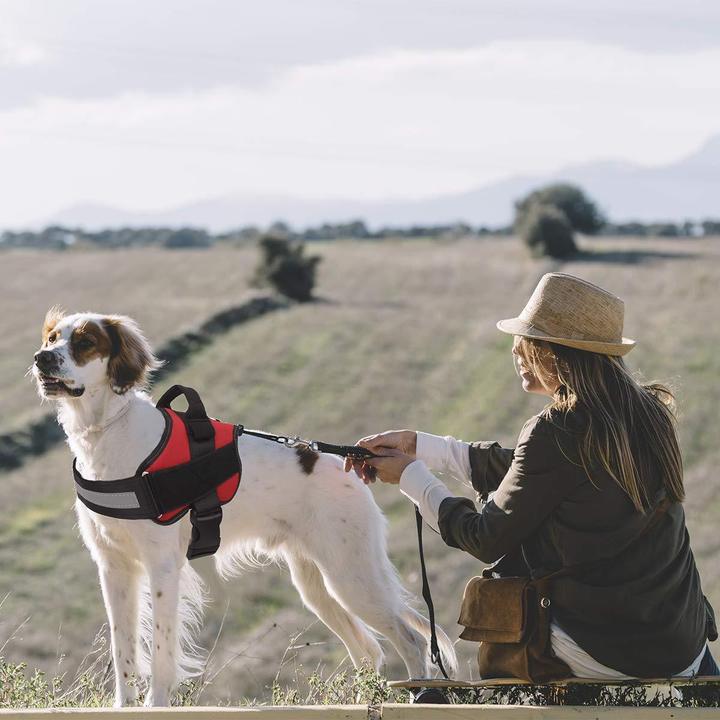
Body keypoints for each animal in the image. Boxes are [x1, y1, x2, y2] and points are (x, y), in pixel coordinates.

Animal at [32, 306, 456, 704]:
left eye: (85, 342)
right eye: (52, 338)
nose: (42, 358)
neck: (109, 431)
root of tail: (346, 461)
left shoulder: (162, 566)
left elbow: (161, 654)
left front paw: (157, 704)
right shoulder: (113, 567)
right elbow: (124, 653)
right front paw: (124, 705)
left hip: (352, 577)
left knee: (411, 641)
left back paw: (420, 695)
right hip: (318, 586)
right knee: (367, 651)